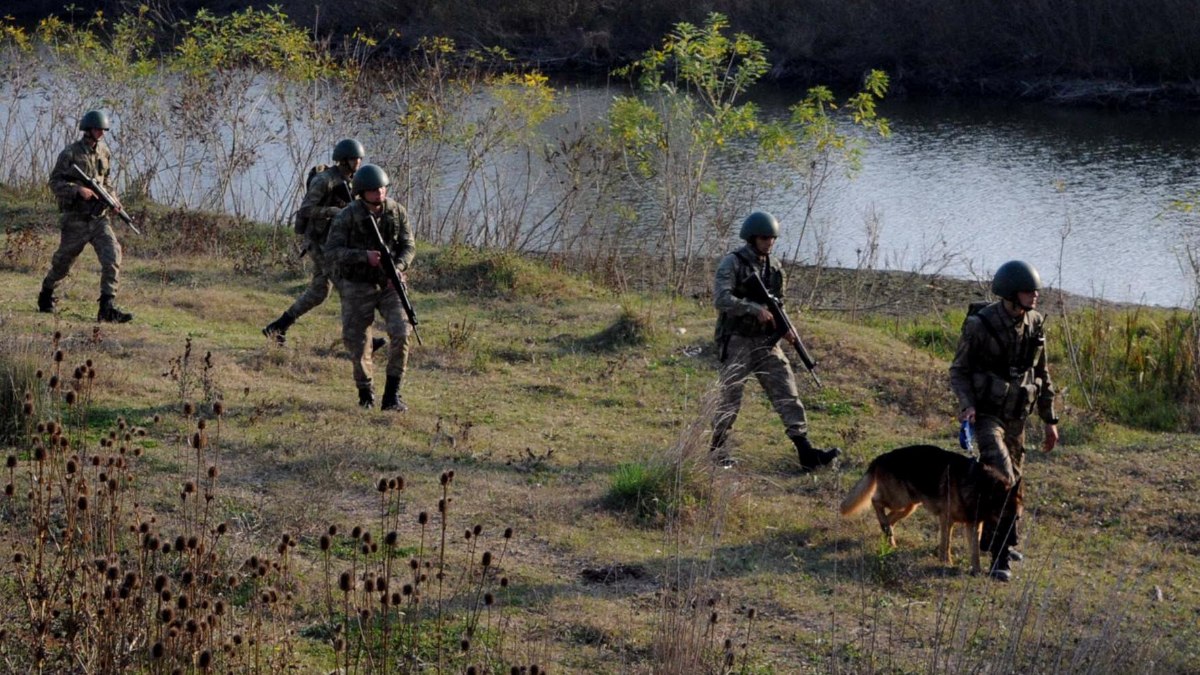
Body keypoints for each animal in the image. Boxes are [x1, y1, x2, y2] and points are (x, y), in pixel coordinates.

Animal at [835, 444, 1022, 569]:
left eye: (1018, 518)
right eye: (1006, 516)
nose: (1015, 541)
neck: (981, 489)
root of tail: (882, 457)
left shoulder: (973, 525)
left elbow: (975, 551)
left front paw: (975, 572)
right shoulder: (947, 520)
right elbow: (946, 543)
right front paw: (946, 562)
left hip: (910, 504)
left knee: (889, 518)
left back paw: (889, 534)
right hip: (900, 499)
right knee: (876, 501)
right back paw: (886, 529)